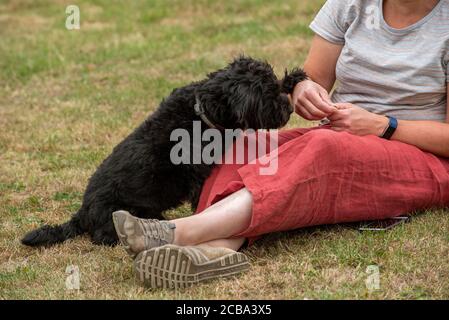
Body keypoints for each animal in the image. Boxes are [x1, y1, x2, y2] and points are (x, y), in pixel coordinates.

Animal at [22, 56, 306, 246]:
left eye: (274, 85)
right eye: (266, 96)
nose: (289, 108)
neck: (201, 112)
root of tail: (82, 213)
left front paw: (295, 78)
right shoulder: (197, 179)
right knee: (101, 237)